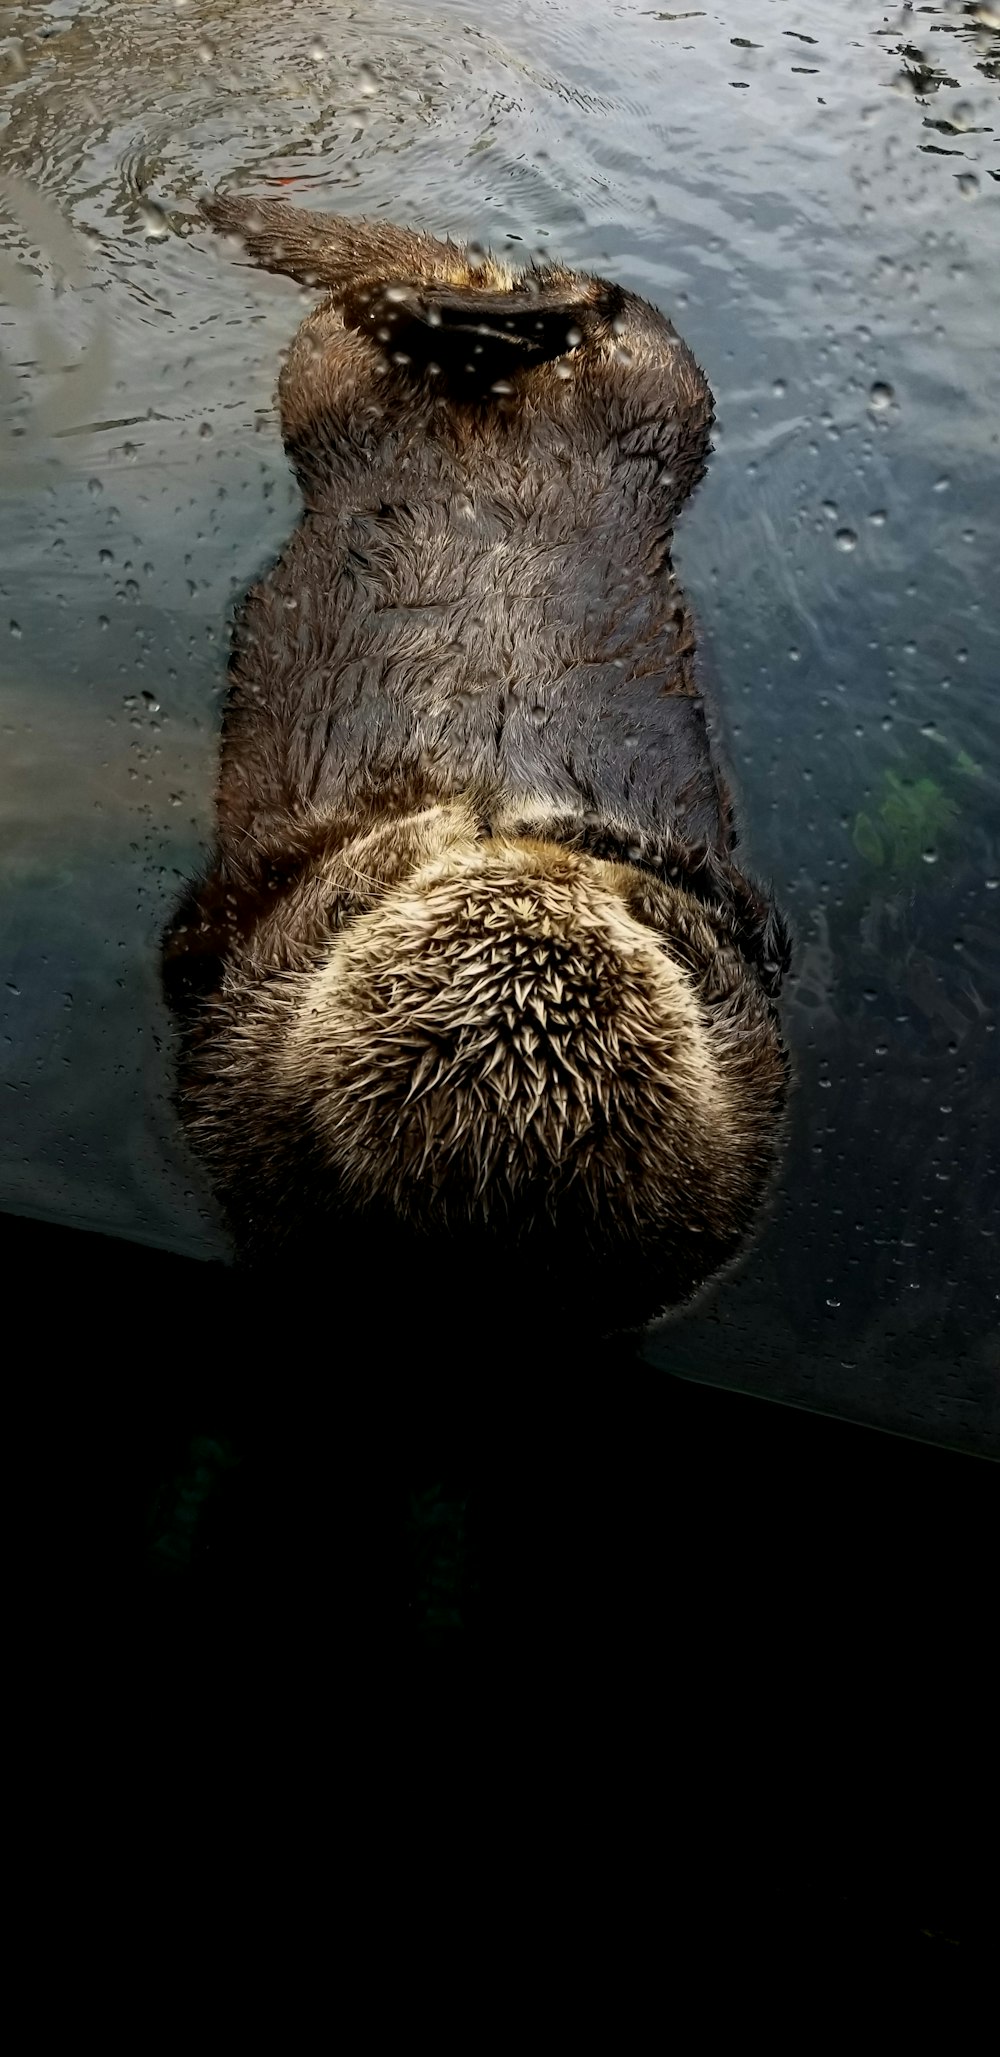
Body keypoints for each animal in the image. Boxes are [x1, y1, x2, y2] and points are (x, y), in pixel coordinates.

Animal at [162, 200, 790, 1341]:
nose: (538, 851)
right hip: (613, 382)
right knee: (580, 307)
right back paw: (495, 317)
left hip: (546, 393)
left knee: (529, 320)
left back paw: (482, 317)